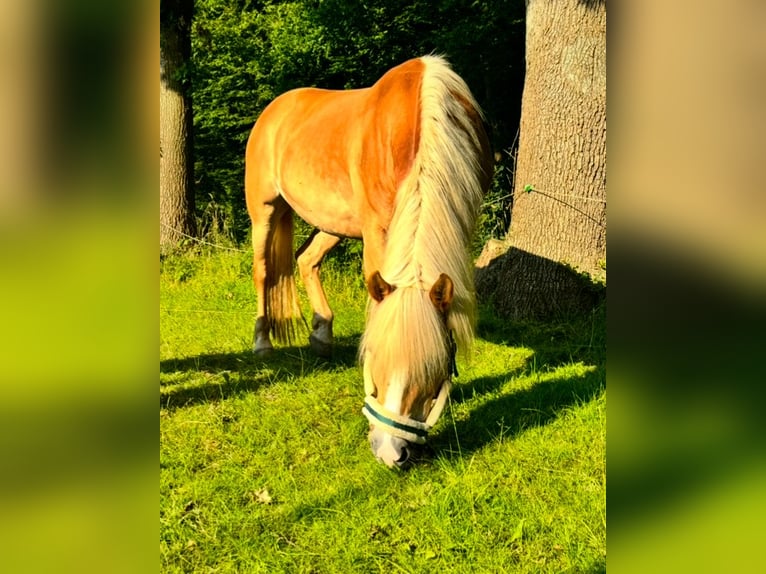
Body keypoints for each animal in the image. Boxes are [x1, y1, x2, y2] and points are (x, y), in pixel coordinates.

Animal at [249, 55, 496, 468]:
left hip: (333, 223)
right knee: (264, 272)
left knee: (306, 260)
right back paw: (262, 342)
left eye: (434, 369)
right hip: (265, 211)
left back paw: (321, 334)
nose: (389, 451)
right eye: (373, 360)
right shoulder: (376, 229)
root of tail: (275, 108)